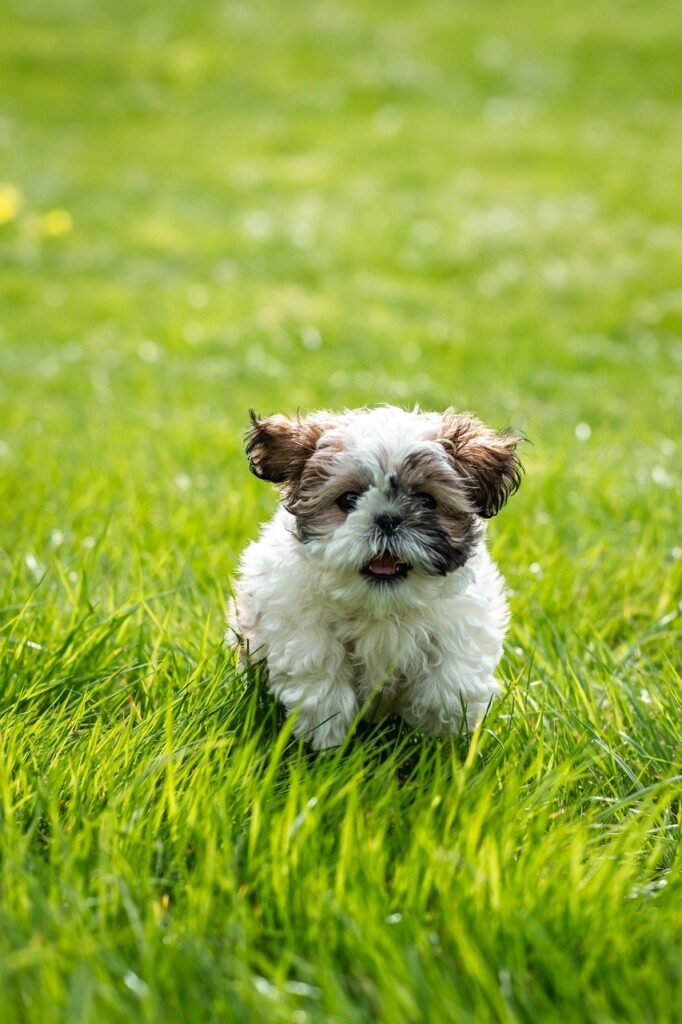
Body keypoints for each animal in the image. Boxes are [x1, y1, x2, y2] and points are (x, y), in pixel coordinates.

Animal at [227, 403, 520, 749]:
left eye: (427, 500)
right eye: (348, 500)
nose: (388, 519)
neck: (382, 606)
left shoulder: (461, 620)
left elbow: (451, 681)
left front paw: (441, 731)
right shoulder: (296, 617)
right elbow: (318, 669)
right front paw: (325, 735)